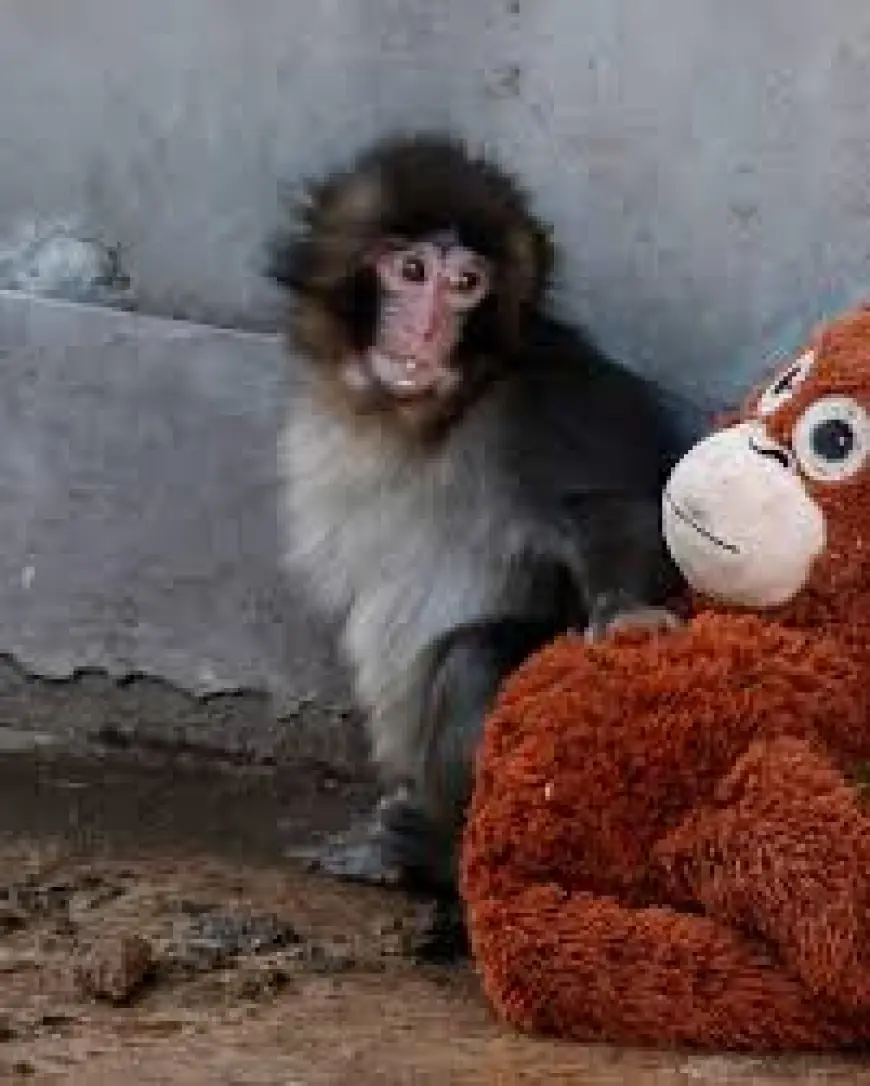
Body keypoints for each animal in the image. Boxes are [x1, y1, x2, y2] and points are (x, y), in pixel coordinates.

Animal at [266, 132, 695, 897]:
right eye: (411, 271)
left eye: (467, 284)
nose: (429, 329)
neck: (428, 417)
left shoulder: (542, 409)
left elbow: (623, 513)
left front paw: (625, 615)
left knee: (476, 658)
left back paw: (440, 852)